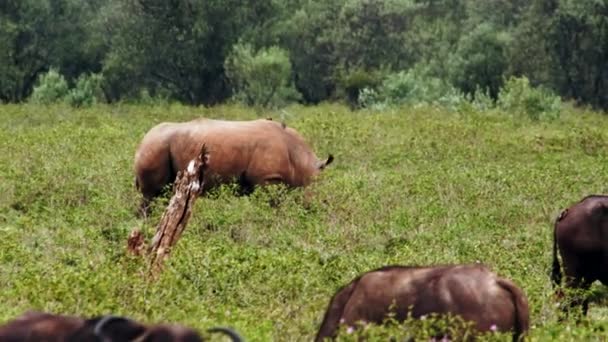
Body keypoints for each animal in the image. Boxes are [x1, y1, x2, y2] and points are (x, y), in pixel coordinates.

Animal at [134, 117, 332, 214]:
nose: (319, 208)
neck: (300, 160)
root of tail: (142, 141)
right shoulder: (268, 178)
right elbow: (272, 204)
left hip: (159, 146)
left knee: (163, 193)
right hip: (155, 146)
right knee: (151, 194)